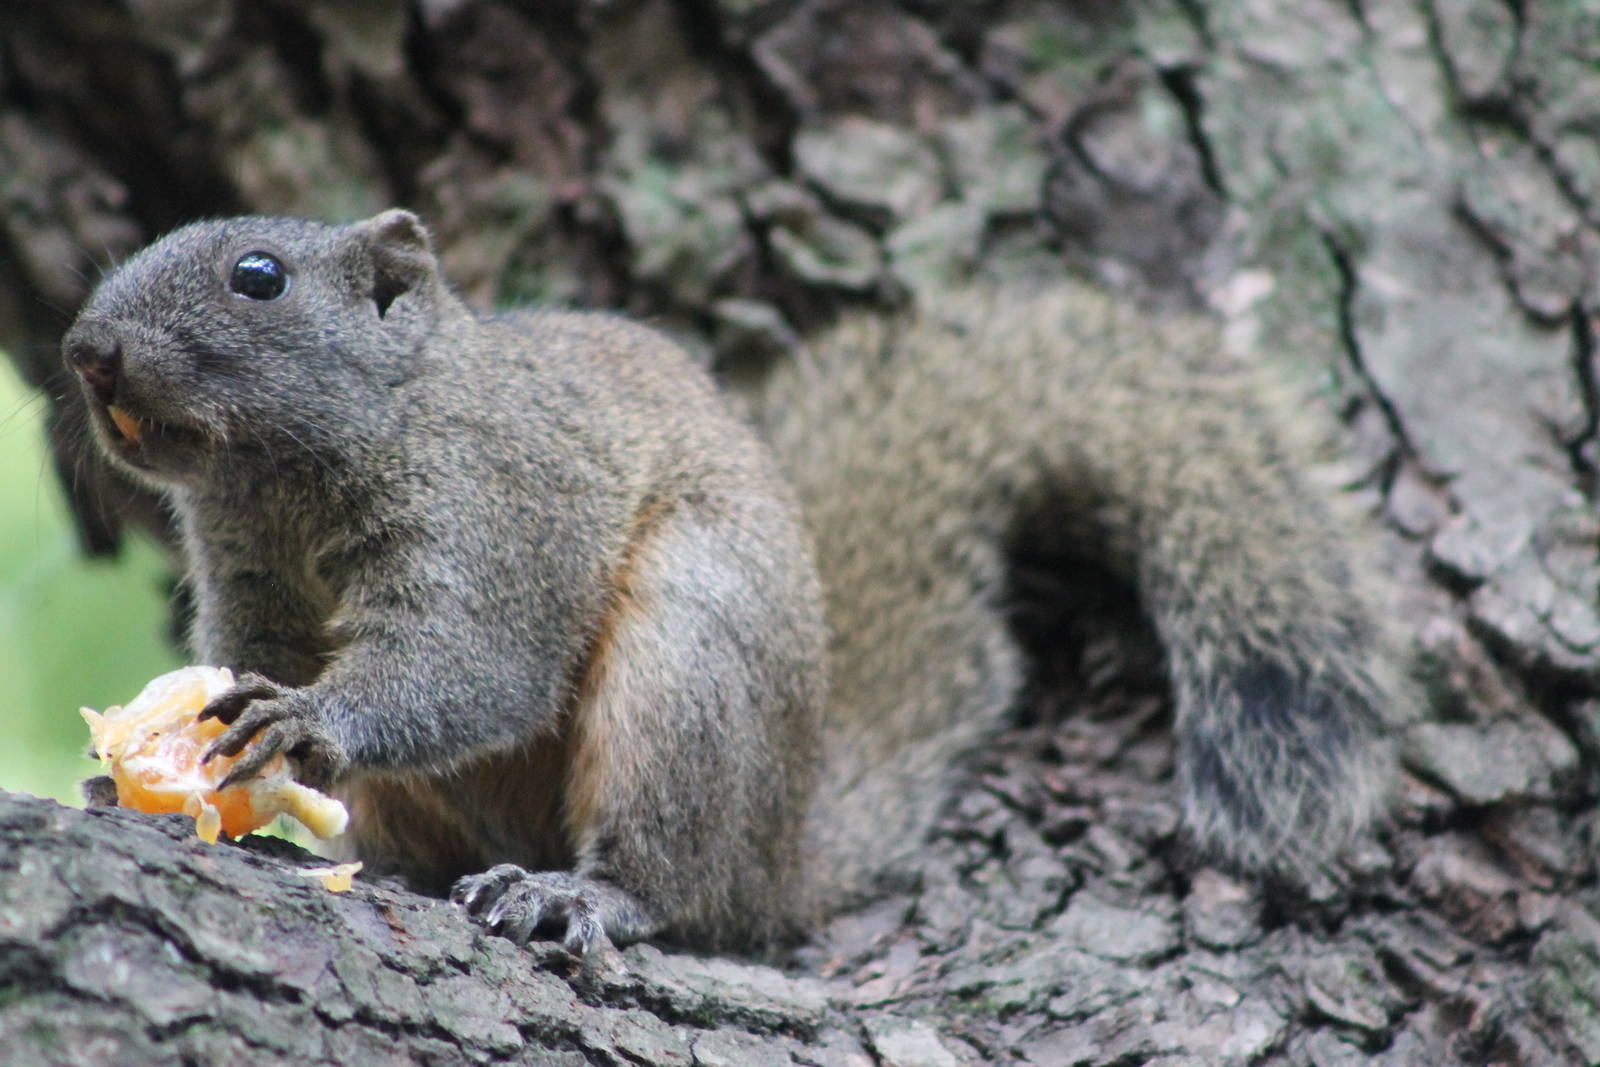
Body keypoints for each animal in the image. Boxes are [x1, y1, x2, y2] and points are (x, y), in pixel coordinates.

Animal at [62, 209, 1403, 954]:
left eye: (259, 276)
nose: (86, 350)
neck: (295, 474)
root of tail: (783, 844)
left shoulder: (501, 506)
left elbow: (477, 663)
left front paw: (308, 719)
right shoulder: (248, 572)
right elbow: (251, 651)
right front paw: (157, 759)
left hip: (691, 671)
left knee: (683, 884)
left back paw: (583, 896)